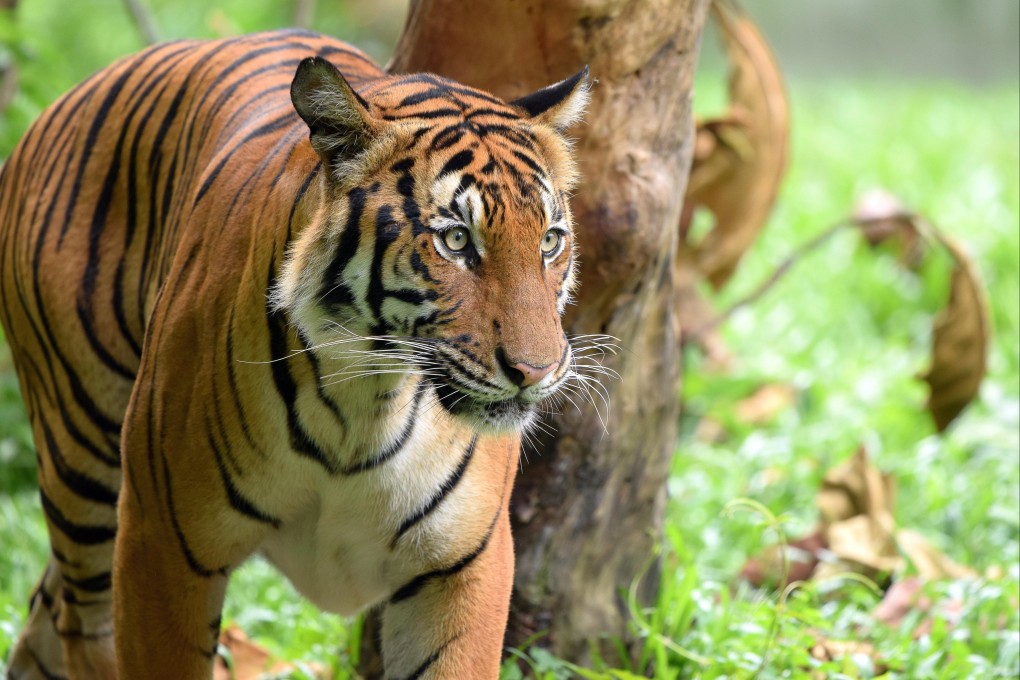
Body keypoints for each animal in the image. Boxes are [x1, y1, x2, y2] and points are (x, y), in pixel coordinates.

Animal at [0, 28, 592, 680]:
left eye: (550, 242)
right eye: (456, 241)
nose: (535, 372)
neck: (366, 400)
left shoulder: (462, 563)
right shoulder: (163, 538)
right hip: (84, 456)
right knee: (82, 621)